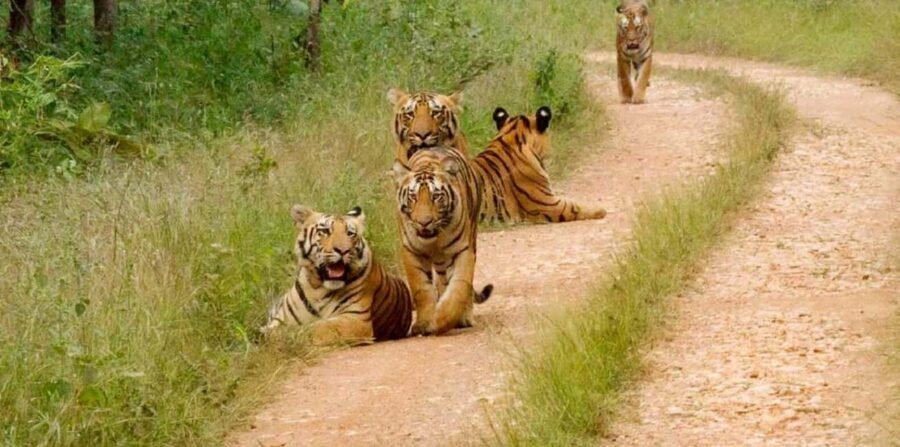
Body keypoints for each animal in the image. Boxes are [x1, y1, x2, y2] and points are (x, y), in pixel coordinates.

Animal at [261, 205, 413, 345]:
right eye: (325, 231)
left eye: (350, 233)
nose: (343, 250)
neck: (317, 288)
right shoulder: (282, 317)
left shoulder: (356, 319)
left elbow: (317, 328)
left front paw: (284, 336)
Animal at [392, 147, 493, 335]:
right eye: (413, 197)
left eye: (436, 197)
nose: (424, 222)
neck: (434, 240)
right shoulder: (411, 251)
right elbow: (421, 289)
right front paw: (424, 323)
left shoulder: (463, 251)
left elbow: (459, 288)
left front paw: (441, 320)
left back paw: (464, 318)